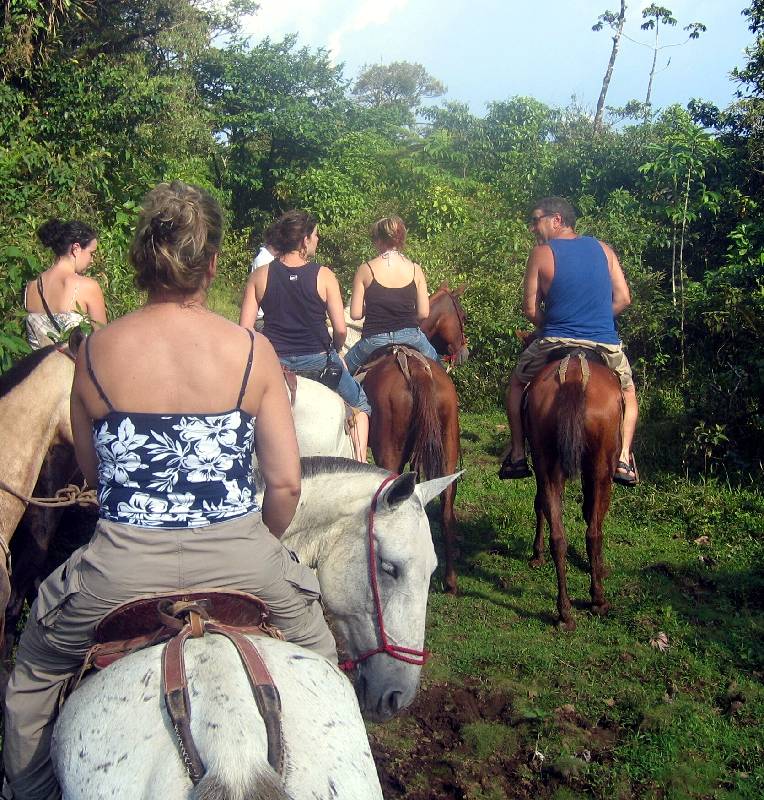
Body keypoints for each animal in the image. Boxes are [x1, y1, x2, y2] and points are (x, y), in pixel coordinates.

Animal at [362, 284, 466, 592]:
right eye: (464, 316)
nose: (463, 352)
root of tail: (416, 368)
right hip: (447, 446)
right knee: (447, 504)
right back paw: (450, 580)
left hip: (389, 452)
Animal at [524, 338, 624, 632]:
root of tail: (573, 375)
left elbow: (543, 504)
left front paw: (537, 554)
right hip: (602, 464)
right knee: (594, 531)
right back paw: (598, 600)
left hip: (547, 459)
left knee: (560, 535)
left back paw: (565, 612)